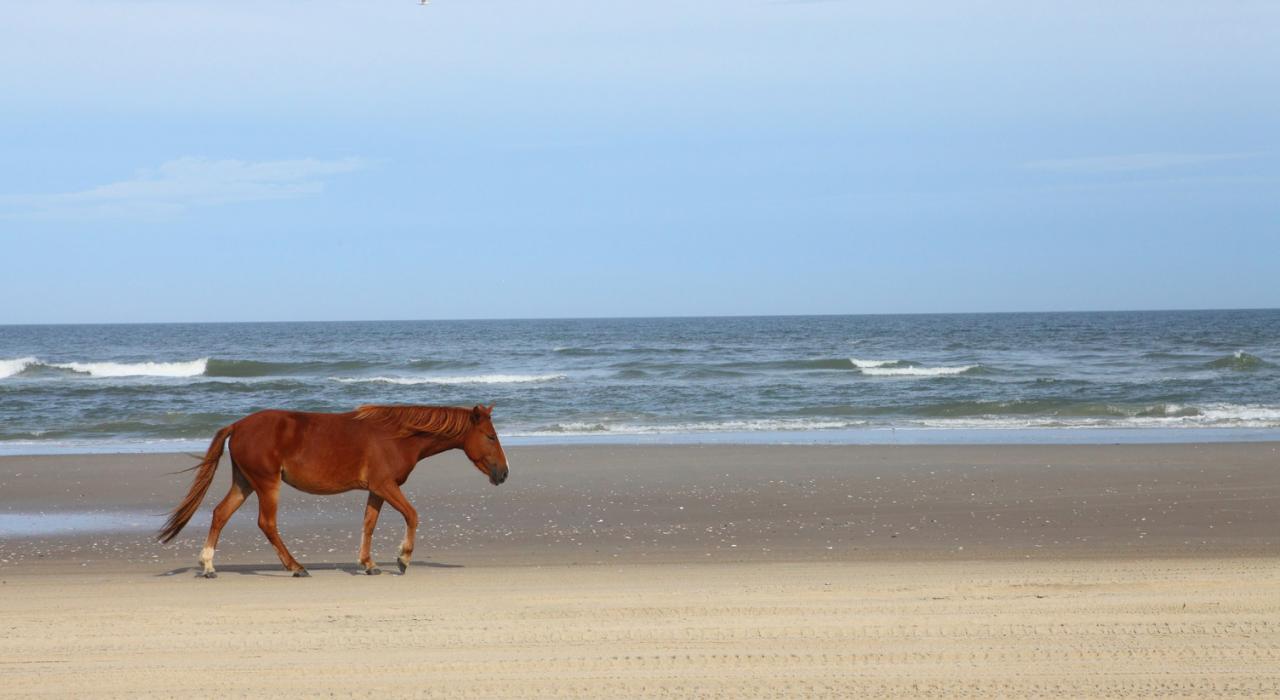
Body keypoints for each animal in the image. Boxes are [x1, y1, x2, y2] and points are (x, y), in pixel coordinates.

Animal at [157, 404, 509, 578]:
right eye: (490, 436)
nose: (503, 473)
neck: (397, 436)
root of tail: (238, 425)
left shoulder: (377, 489)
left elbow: (369, 524)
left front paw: (368, 564)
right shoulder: (386, 485)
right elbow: (412, 515)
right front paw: (402, 559)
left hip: (244, 483)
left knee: (220, 514)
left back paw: (208, 566)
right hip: (266, 484)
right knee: (266, 523)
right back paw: (296, 568)